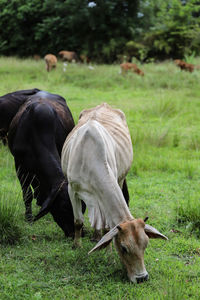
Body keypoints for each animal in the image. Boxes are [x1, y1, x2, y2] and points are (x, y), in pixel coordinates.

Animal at [61, 103, 167, 284]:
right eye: (124, 248)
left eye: (146, 244)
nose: (142, 278)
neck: (89, 158)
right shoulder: (72, 189)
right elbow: (78, 221)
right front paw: (77, 245)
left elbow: (106, 229)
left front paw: (108, 254)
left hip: (120, 178)